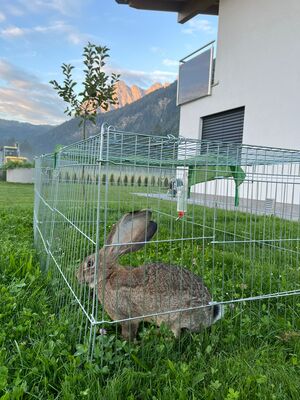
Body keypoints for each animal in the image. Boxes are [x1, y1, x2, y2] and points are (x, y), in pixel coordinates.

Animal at [76, 209, 224, 340]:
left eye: (89, 263)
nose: (77, 276)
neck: (107, 276)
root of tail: (210, 313)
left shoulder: (127, 316)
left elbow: (129, 332)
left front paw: (129, 341)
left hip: (175, 316)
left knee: (177, 335)